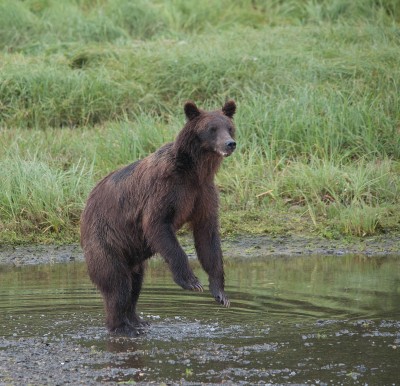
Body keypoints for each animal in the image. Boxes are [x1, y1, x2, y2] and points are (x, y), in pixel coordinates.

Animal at [81, 99, 236, 334]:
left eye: (229, 127)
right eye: (212, 129)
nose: (230, 144)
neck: (195, 169)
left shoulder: (203, 193)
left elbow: (207, 237)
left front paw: (220, 293)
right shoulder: (165, 188)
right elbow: (157, 225)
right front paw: (192, 281)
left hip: (131, 256)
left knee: (135, 285)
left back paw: (137, 320)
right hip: (106, 242)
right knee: (118, 285)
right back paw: (123, 326)